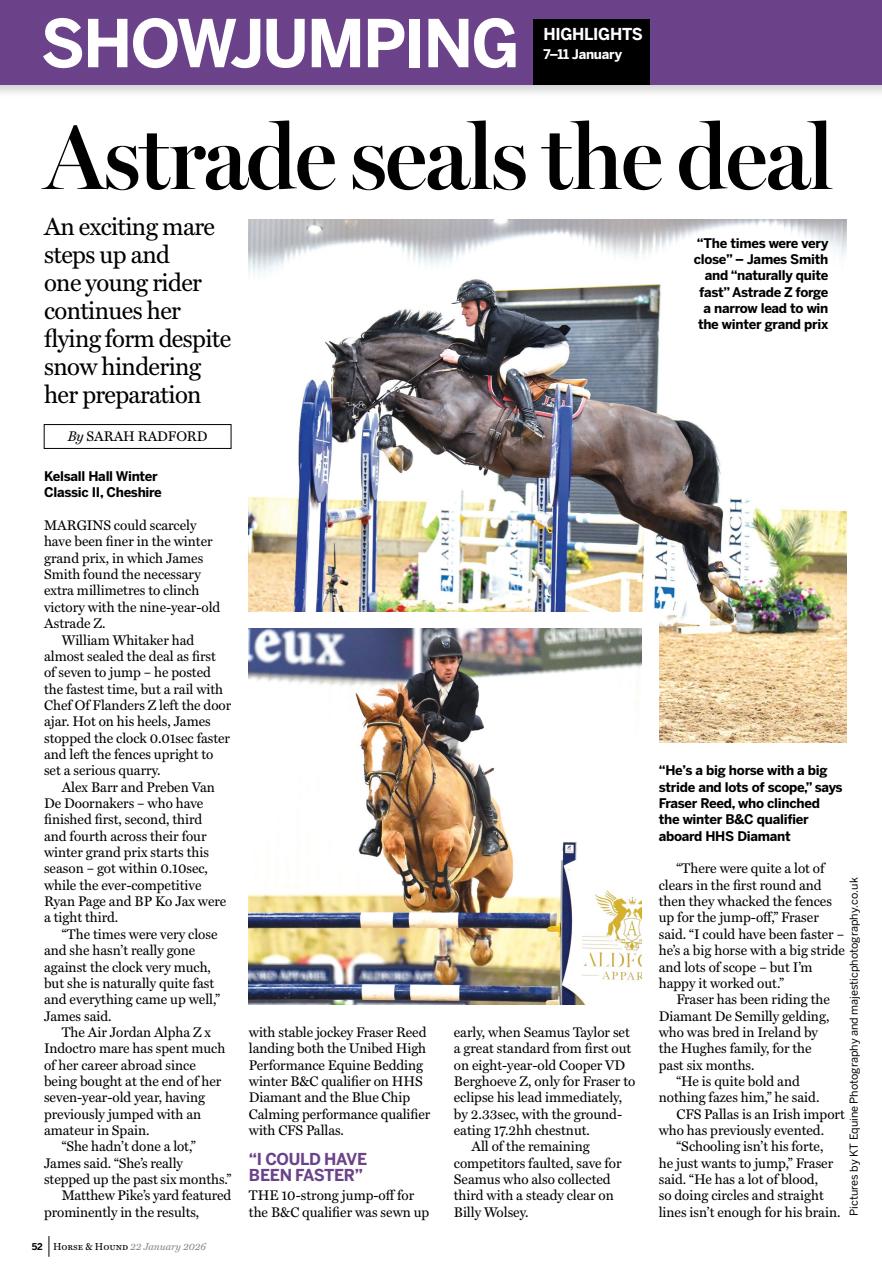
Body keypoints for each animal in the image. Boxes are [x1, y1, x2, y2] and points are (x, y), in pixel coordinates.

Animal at [328, 310, 743, 620]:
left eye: (342, 374)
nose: (338, 429)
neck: (442, 371)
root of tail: (674, 425)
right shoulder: (440, 434)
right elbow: (396, 407)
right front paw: (397, 451)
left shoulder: (449, 424)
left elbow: (392, 401)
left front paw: (391, 447)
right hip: (636, 503)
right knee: (688, 533)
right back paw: (715, 599)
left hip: (656, 495)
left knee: (713, 516)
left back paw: (728, 579)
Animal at [357, 686, 513, 979]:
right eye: (363, 745)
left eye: (397, 744)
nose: (375, 804)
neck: (416, 797)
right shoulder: (392, 839)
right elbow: (394, 845)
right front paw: (414, 893)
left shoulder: (458, 840)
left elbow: (442, 842)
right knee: (442, 910)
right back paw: (444, 963)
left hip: (501, 878)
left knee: (484, 891)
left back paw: (482, 946)